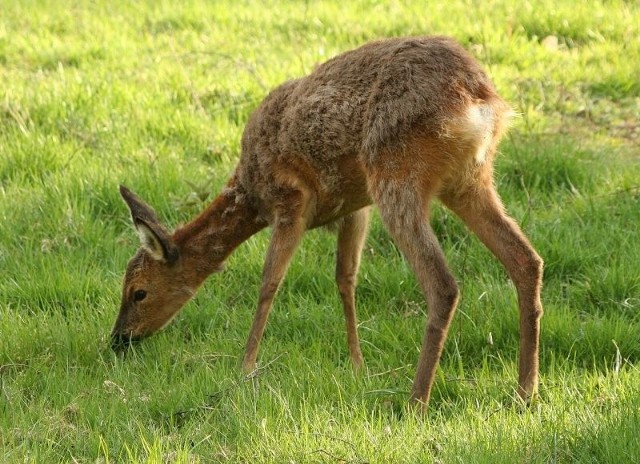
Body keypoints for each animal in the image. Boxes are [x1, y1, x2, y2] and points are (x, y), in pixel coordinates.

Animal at [112, 36, 544, 408]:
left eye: (138, 292)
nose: (118, 339)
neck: (250, 192)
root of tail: (479, 96)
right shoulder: (353, 207)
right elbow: (345, 280)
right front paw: (357, 365)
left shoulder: (291, 201)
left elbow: (269, 283)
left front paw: (245, 367)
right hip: (468, 180)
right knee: (526, 259)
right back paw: (525, 392)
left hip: (396, 174)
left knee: (443, 284)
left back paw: (415, 401)